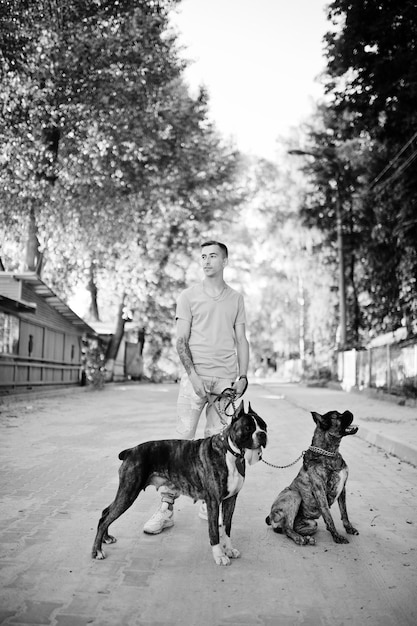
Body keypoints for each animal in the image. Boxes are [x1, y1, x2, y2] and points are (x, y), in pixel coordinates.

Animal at [91, 402, 266, 564]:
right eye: (248, 428)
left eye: (264, 426)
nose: (262, 434)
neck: (230, 452)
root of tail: (131, 450)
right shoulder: (213, 502)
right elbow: (214, 531)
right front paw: (219, 556)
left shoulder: (231, 500)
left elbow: (227, 528)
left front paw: (228, 549)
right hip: (129, 492)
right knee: (105, 519)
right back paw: (97, 551)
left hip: (126, 492)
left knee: (106, 512)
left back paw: (106, 538)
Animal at [266, 408, 358, 544]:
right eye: (337, 416)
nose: (348, 411)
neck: (330, 452)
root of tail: (270, 516)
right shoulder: (320, 491)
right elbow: (329, 516)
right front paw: (337, 536)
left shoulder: (343, 489)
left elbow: (344, 512)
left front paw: (349, 528)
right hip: (294, 495)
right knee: (287, 528)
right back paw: (299, 538)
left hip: (310, 524)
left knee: (287, 528)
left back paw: (307, 538)